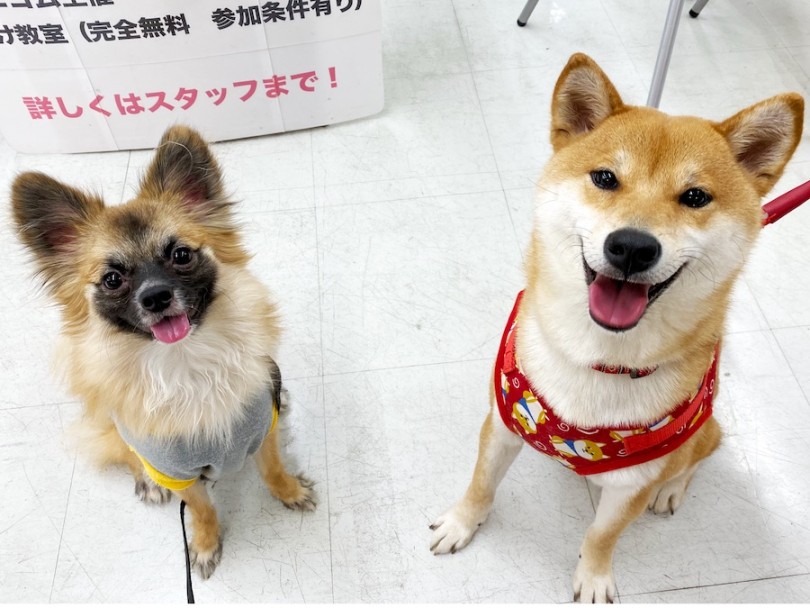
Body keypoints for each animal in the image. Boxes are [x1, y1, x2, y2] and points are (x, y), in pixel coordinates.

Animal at [13, 127, 316, 580]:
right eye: (112, 279)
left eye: (181, 255)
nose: (155, 296)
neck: (186, 363)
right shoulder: (177, 473)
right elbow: (201, 509)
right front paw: (205, 544)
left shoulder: (263, 432)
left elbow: (274, 468)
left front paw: (290, 491)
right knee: (125, 454)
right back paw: (146, 482)